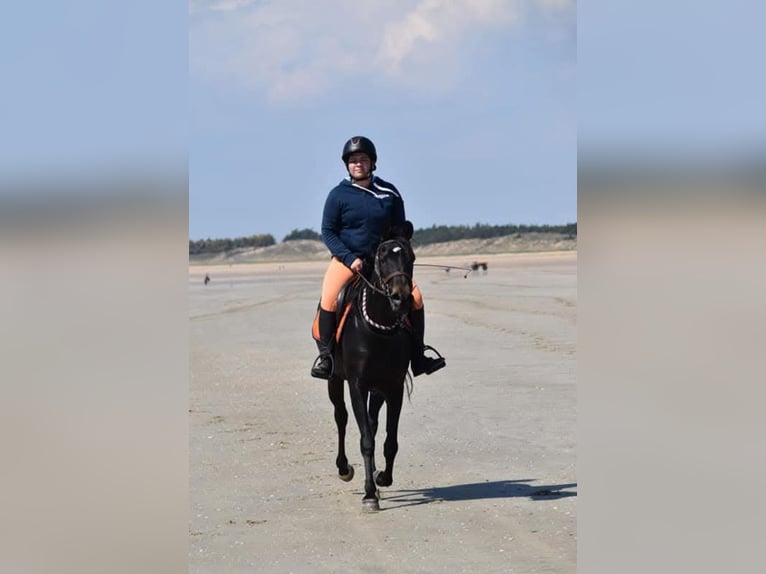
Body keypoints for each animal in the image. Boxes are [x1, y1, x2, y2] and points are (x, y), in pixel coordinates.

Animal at [327, 222, 416, 511]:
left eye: (411, 257)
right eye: (382, 257)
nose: (401, 298)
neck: (379, 328)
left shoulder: (393, 388)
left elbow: (389, 440)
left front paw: (382, 478)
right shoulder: (357, 385)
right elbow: (365, 439)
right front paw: (368, 494)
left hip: (377, 390)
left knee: (373, 422)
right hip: (334, 381)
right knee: (341, 417)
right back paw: (344, 468)